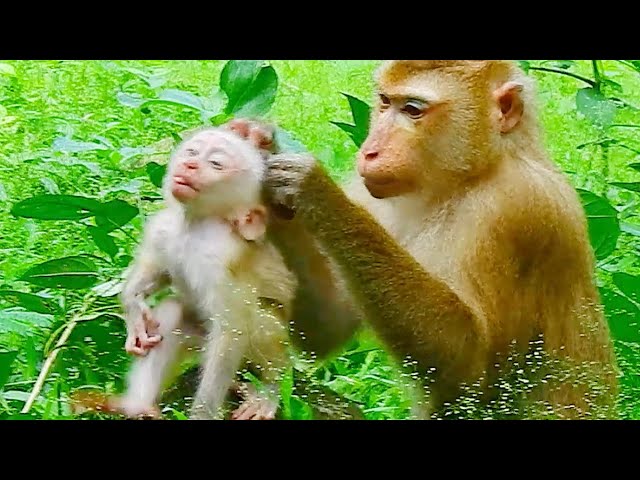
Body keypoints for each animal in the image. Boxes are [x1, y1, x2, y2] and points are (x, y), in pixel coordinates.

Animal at [83, 125, 297, 420]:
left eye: (216, 163)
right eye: (192, 152)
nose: (190, 164)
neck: (195, 223)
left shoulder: (219, 255)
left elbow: (231, 331)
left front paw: (203, 413)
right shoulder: (164, 228)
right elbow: (158, 273)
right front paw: (134, 309)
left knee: (257, 321)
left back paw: (272, 383)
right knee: (172, 313)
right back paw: (140, 406)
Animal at [229, 60, 619, 420]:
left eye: (413, 109)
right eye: (385, 102)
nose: (369, 152)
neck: (467, 179)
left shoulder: (517, 212)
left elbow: (469, 371)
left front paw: (316, 191)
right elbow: (327, 328)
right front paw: (257, 142)